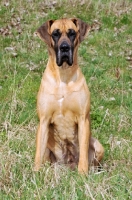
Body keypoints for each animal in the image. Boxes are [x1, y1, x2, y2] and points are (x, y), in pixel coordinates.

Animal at [34, 18, 104, 173]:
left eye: (72, 33)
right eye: (55, 34)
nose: (64, 48)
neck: (63, 76)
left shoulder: (83, 119)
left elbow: (83, 153)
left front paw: (82, 173)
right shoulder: (44, 120)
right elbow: (38, 153)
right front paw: (34, 173)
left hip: (98, 146)